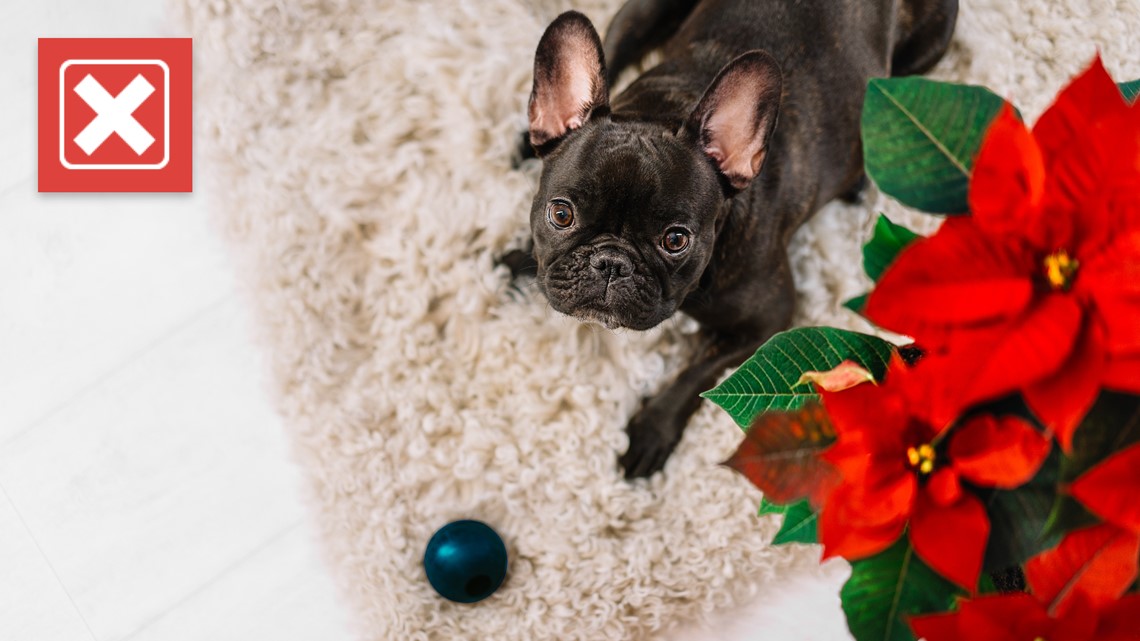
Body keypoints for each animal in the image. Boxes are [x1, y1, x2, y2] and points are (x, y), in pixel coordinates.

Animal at [515, 0, 953, 474]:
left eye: (676, 240)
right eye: (561, 214)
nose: (611, 263)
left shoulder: (769, 321)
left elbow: (697, 375)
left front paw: (652, 431)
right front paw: (518, 259)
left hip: (928, 47)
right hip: (637, 15)